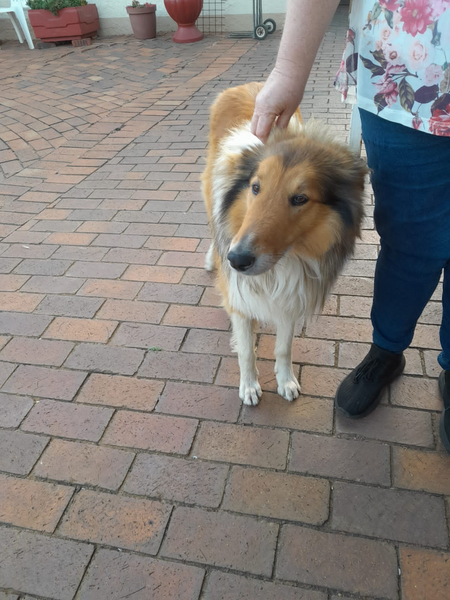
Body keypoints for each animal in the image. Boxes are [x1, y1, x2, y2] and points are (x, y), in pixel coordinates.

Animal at [200, 82, 366, 406]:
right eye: (255, 187)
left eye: (300, 198)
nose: (236, 260)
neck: (285, 262)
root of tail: (244, 85)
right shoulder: (238, 294)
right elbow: (246, 351)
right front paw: (249, 385)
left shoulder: (292, 296)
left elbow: (284, 347)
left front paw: (286, 381)